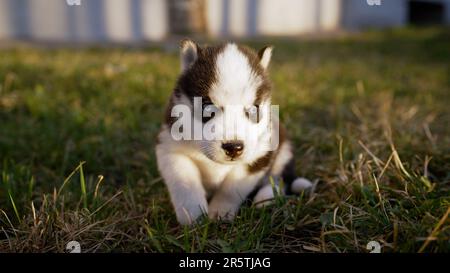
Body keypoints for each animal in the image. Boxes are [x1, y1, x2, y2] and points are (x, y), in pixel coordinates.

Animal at [155, 39, 310, 223]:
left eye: (254, 109)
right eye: (207, 107)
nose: (233, 148)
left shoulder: (260, 156)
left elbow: (232, 187)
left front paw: (220, 212)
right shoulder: (170, 149)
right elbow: (185, 183)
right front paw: (192, 215)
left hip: (284, 150)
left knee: (281, 179)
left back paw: (266, 197)